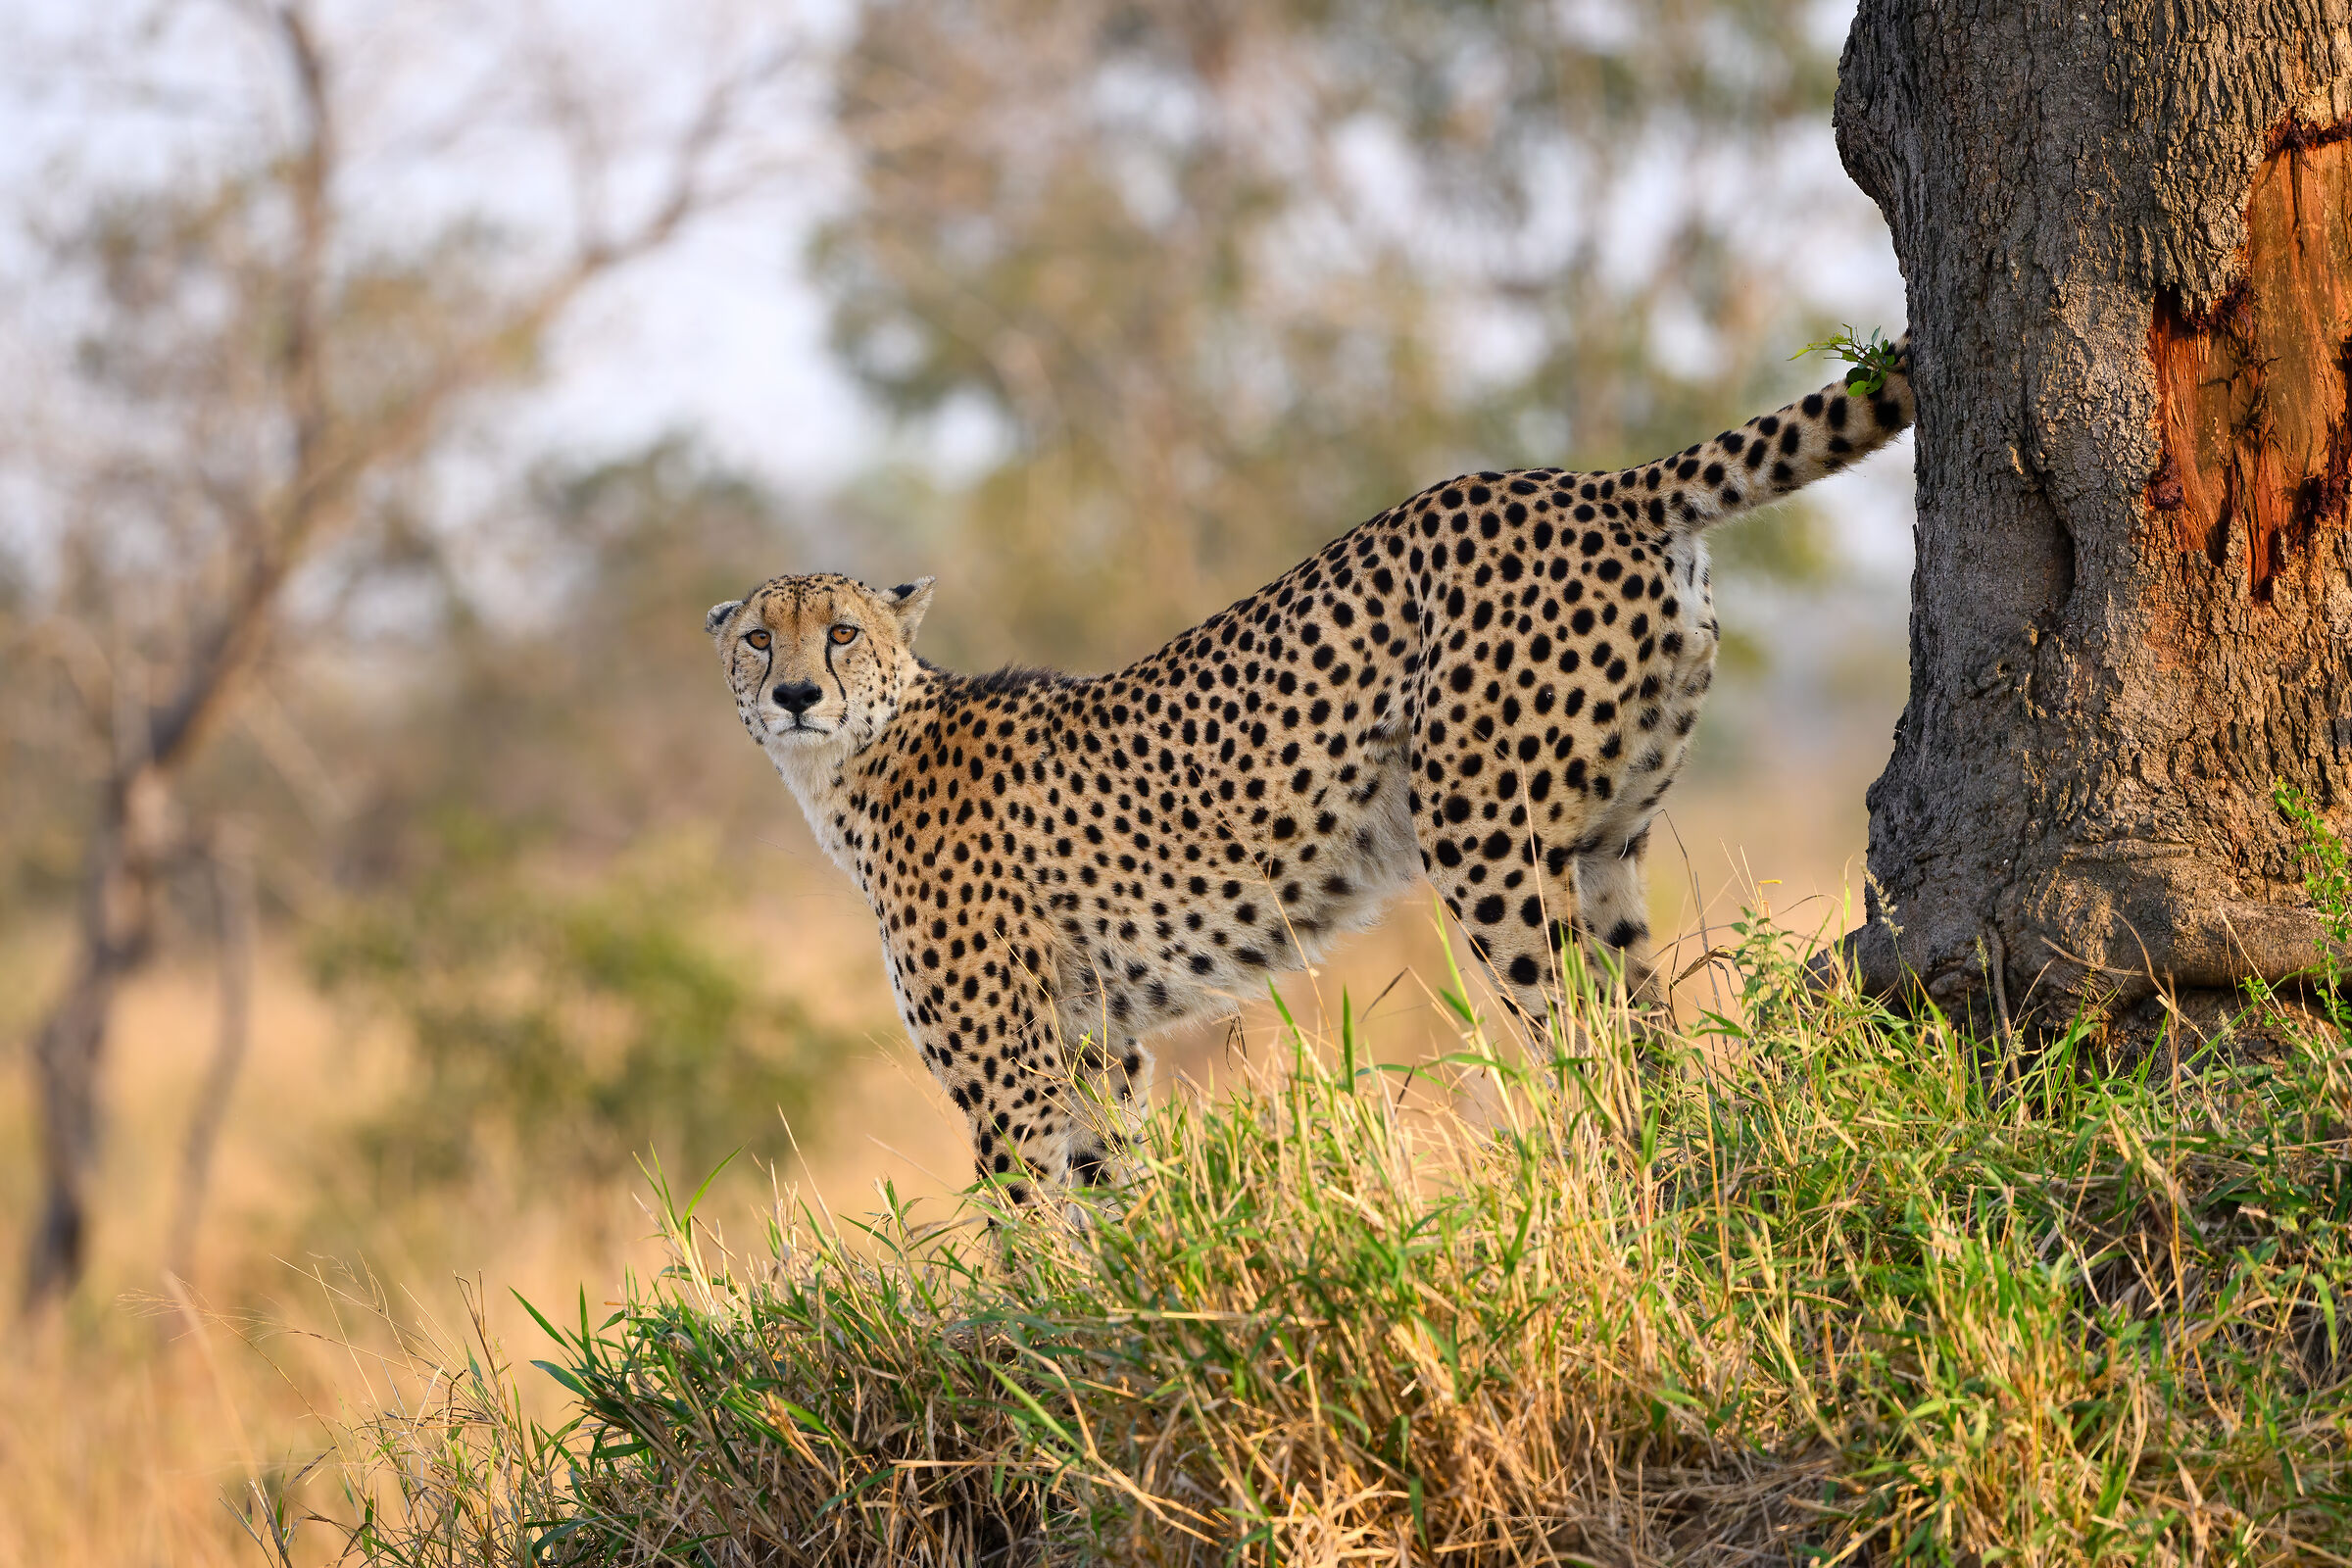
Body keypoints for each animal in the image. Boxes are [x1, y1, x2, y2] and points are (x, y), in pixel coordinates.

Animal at [708, 343, 1915, 1206]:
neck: (856, 764)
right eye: (760, 639)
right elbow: (1114, 1201)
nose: (796, 695)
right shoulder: (1098, 1050)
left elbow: (1027, 1231)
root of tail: (1586, 484)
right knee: (1645, 1028)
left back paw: (1603, 1195)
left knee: (1584, 1037)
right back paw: (1675, 1166)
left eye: (843, 633)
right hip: (1608, 837)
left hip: (1485, 840)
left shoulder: (1010, 1075)